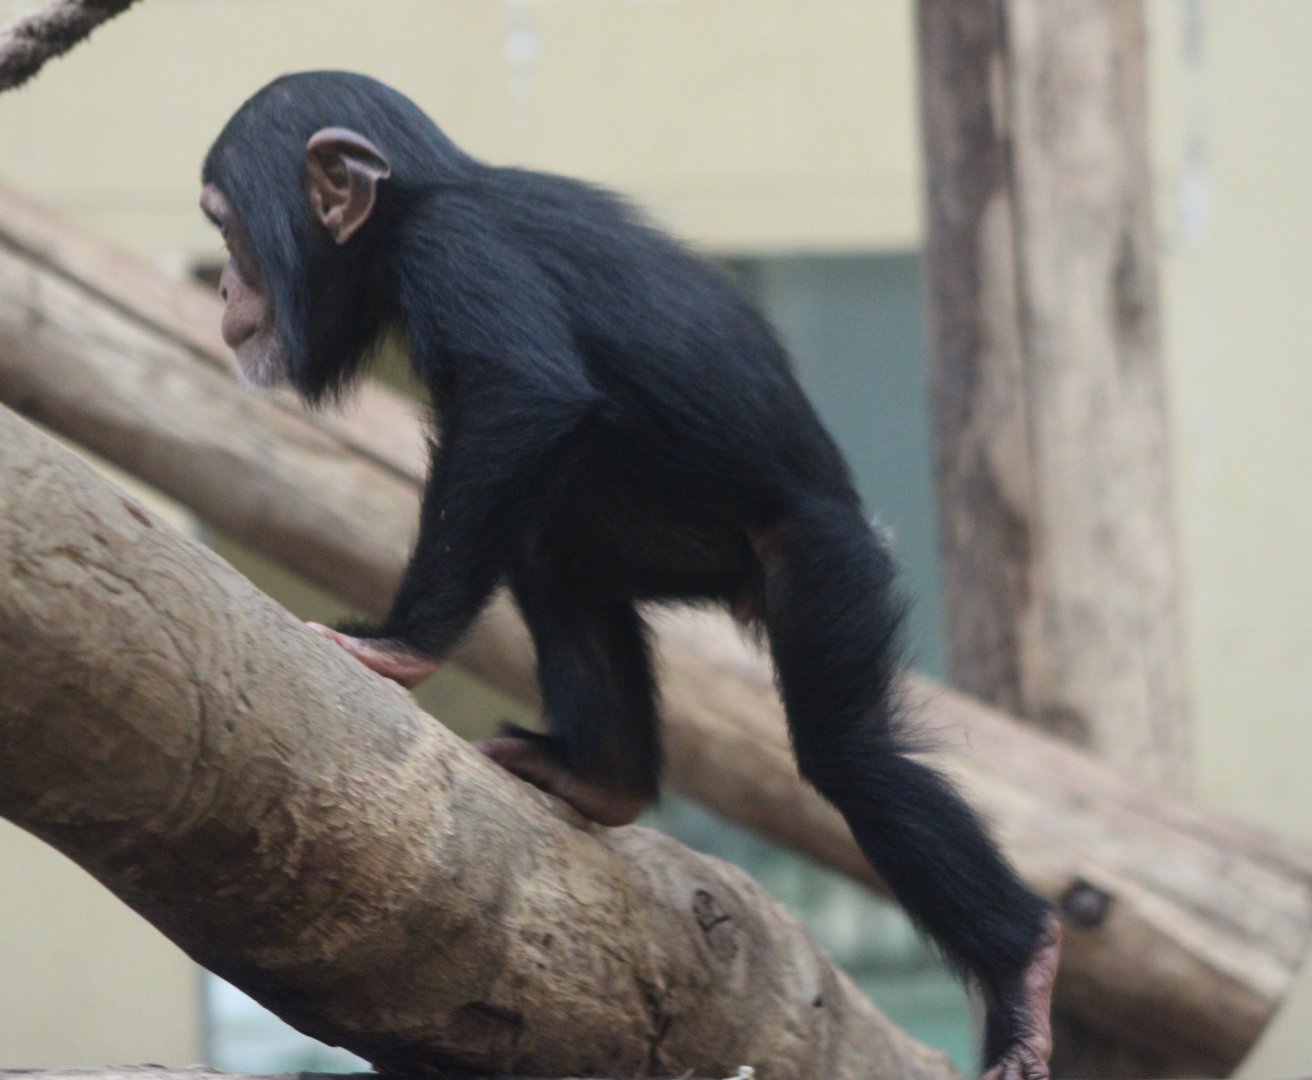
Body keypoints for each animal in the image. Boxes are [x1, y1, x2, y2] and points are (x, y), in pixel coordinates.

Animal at [201, 71, 1060, 1079]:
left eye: (225, 227)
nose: (224, 282)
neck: (419, 197)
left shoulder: (458, 252)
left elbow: (522, 393)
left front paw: (397, 643)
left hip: (826, 562)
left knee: (850, 753)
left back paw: (1023, 970)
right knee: (551, 559)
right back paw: (601, 775)